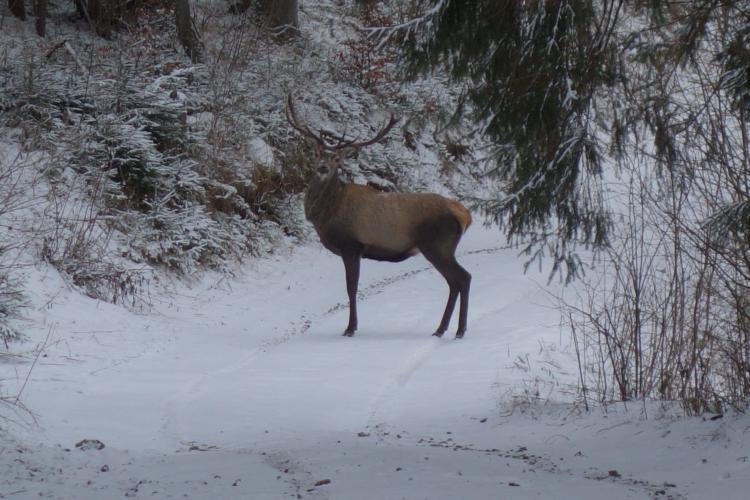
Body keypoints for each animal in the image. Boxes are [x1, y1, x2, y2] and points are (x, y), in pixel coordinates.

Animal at [286, 94, 472, 338]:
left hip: (438, 245)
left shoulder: (352, 245)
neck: (327, 215)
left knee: (462, 278)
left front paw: (350, 328)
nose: (323, 168)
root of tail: (464, 215)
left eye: (337, 159)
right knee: (456, 281)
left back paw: (457, 330)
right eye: (317, 154)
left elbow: (351, 287)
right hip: (441, 247)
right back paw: (443, 329)